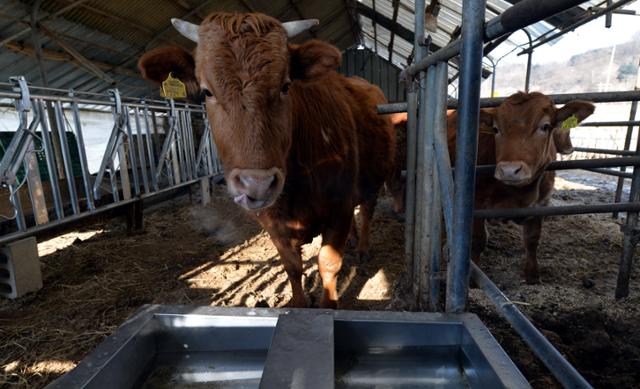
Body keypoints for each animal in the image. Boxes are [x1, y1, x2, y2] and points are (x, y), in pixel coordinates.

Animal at [139, 13, 396, 308]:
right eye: (206, 92)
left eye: (286, 86)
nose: (257, 184)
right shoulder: (272, 223)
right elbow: (292, 266)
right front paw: (299, 304)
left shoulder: (339, 207)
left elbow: (328, 263)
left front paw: (328, 305)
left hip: (374, 179)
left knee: (366, 211)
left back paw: (363, 247)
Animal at [384, 92, 596, 284]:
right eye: (496, 129)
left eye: (545, 126)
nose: (509, 170)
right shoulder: (477, 202)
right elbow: (477, 240)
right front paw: (471, 280)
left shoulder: (541, 204)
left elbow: (532, 239)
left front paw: (532, 275)